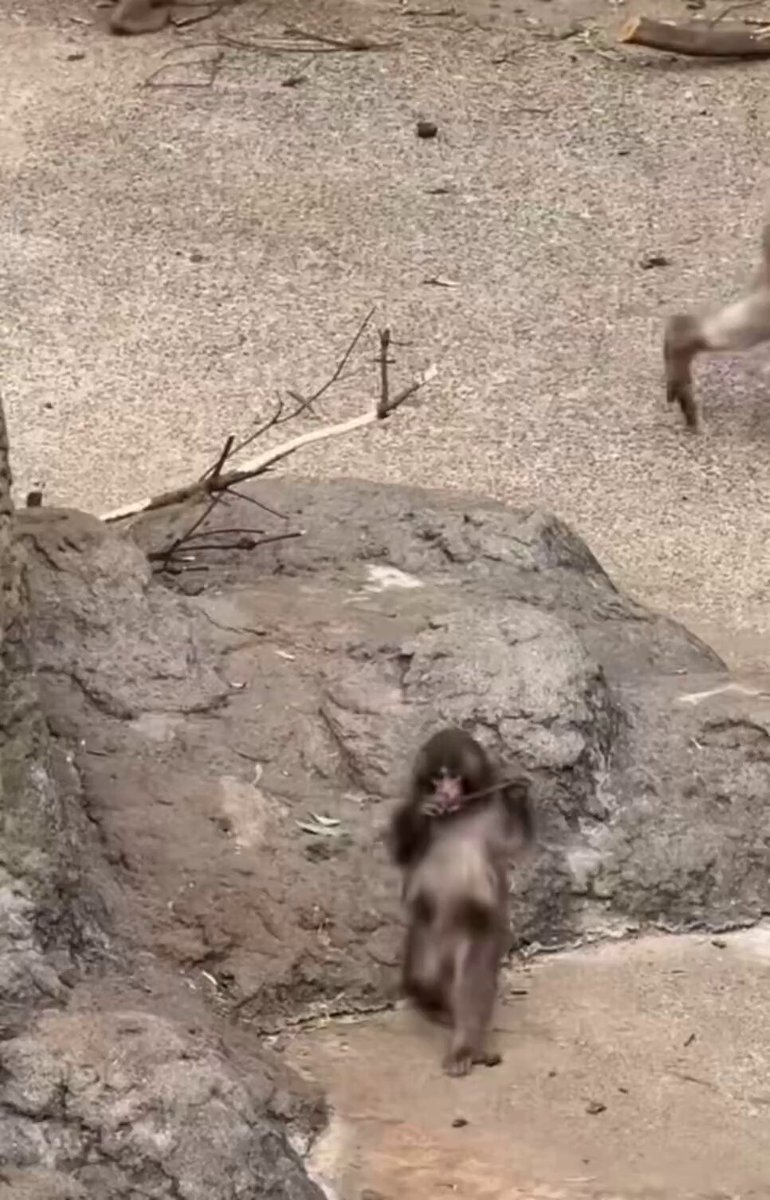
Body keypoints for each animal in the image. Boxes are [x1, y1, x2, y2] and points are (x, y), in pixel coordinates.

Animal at [389, 727, 533, 1077]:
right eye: (437, 777)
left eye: (454, 775)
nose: (445, 791)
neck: (461, 812)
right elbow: (403, 852)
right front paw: (423, 811)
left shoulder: (495, 816)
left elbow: (516, 844)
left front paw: (517, 793)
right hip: (424, 935)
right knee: (423, 975)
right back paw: (439, 1010)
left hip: (475, 933)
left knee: (470, 980)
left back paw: (465, 1044)